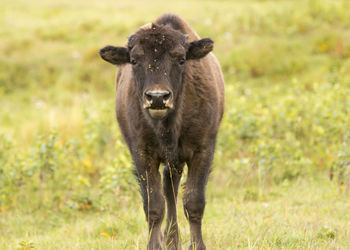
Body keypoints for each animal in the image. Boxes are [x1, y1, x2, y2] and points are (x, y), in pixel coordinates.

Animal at [99, 13, 224, 250]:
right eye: (134, 60)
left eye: (181, 59)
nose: (157, 97)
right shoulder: (142, 154)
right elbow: (154, 206)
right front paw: (154, 245)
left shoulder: (203, 150)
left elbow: (194, 202)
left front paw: (197, 245)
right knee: (168, 192)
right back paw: (171, 241)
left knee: (172, 190)